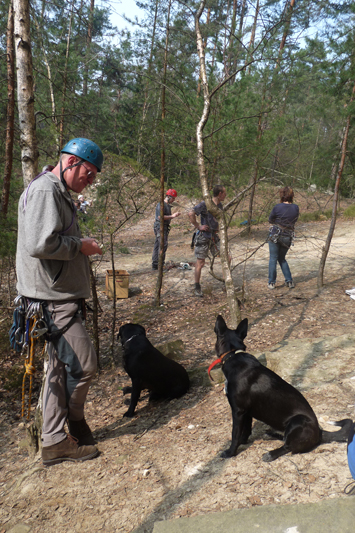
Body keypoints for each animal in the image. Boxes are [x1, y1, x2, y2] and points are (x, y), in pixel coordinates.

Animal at [211, 314, 354, 460]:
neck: (233, 354)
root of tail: (319, 432)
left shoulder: (238, 411)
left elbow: (235, 434)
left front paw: (230, 452)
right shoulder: (246, 412)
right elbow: (246, 430)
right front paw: (243, 442)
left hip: (297, 421)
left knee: (288, 446)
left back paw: (271, 454)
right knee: (285, 439)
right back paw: (271, 434)